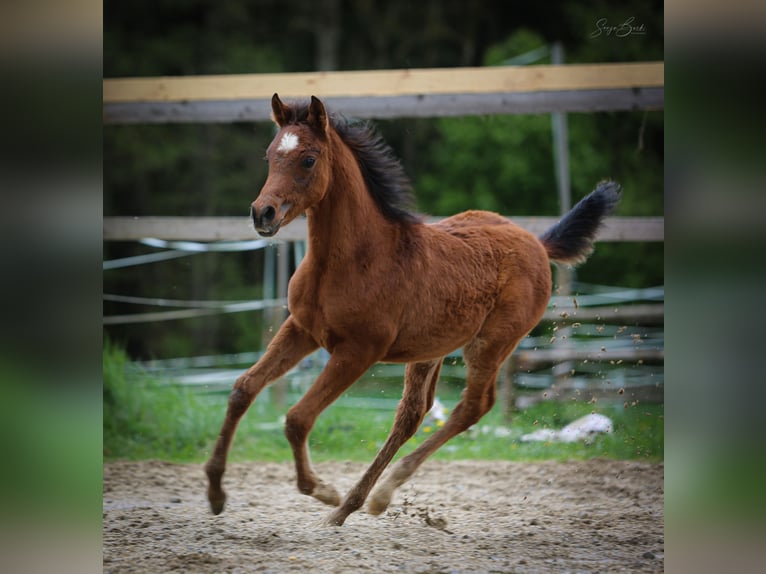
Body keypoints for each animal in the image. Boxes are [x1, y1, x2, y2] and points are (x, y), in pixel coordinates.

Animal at [205, 93, 621, 526]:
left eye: (308, 159)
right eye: (270, 155)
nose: (262, 213)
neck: (353, 260)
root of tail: (537, 244)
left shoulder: (358, 351)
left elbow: (297, 417)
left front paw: (320, 489)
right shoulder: (302, 329)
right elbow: (242, 390)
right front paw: (216, 492)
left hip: (491, 343)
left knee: (473, 406)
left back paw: (369, 496)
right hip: (430, 349)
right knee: (412, 414)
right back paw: (359, 501)